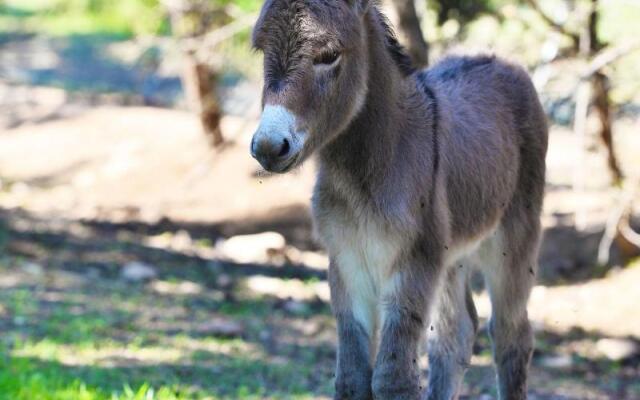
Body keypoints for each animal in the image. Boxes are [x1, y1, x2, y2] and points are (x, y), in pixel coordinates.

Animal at [248, 0, 548, 396]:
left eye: (328, 56)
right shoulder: (346, 260)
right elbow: (352, 378)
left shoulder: (414, 261)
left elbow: (393, 379)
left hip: (514, 237)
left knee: (512, 335)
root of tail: (500, 59)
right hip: (451, 254)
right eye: (261, 50)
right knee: (455, 336)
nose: (268, 147)